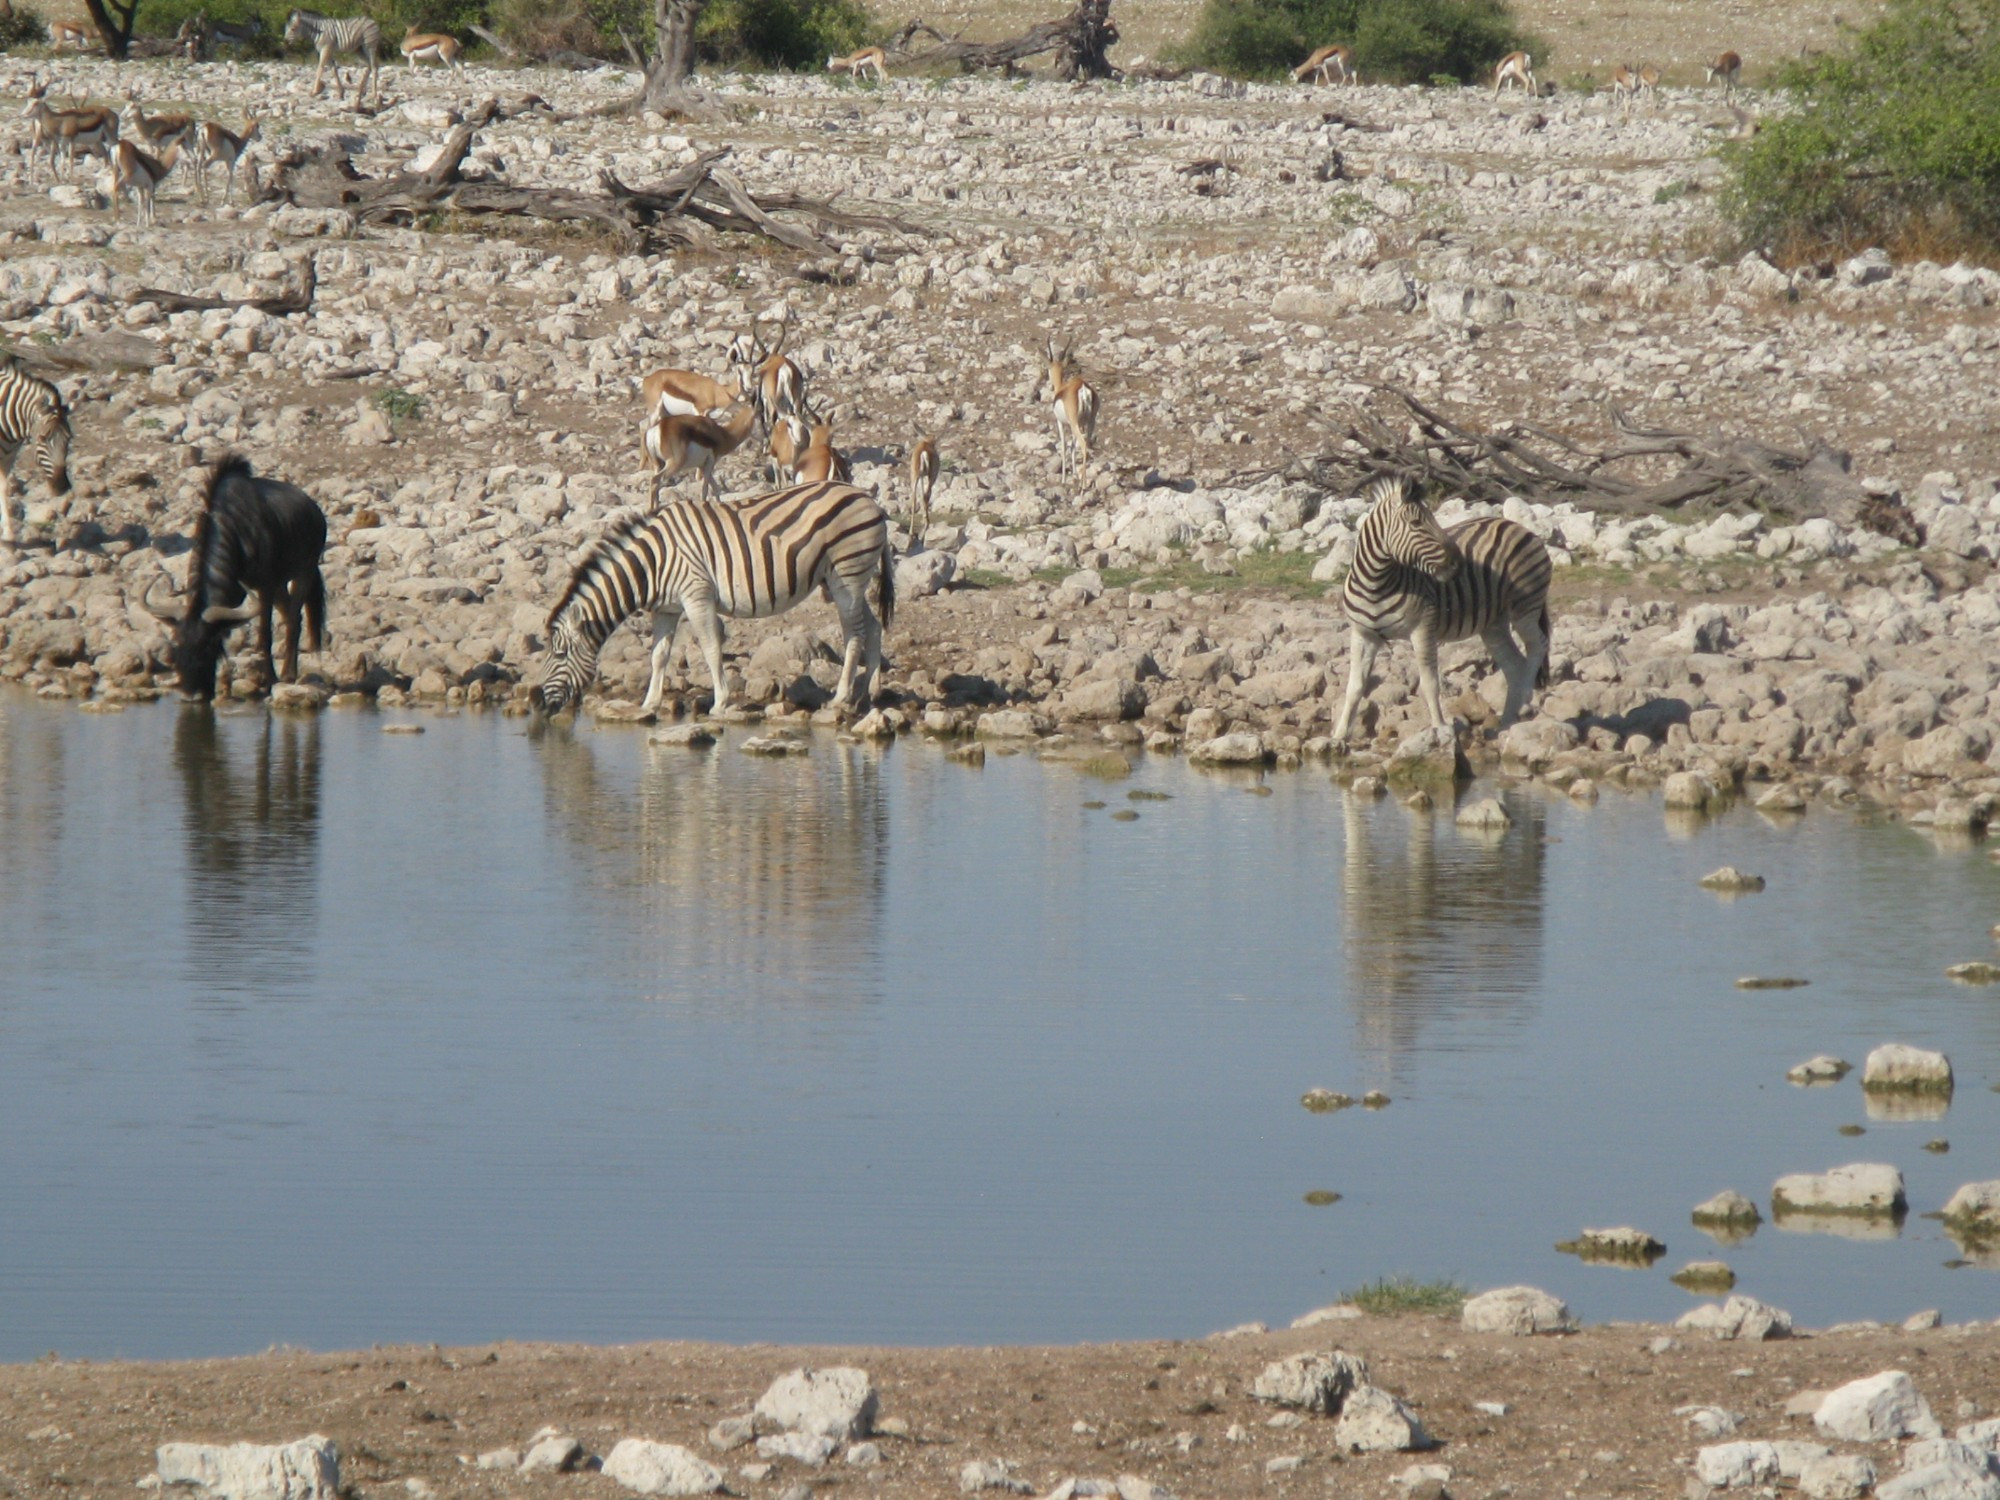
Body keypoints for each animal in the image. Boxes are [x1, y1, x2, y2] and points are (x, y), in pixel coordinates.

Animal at [0, 356, 73, 548]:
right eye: (42, 438)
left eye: (69, 439)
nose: (61, 487)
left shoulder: (8, 457)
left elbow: (4, 488)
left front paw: (8, 535)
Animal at [540, 482, 900, 716]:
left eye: (559, 655)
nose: (543, 706)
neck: (651, 564)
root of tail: (869, 499)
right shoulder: (666, 609)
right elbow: (658, 656)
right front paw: (649, 703)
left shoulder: (696, 595)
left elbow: (711, 649)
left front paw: (720, 702)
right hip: (846, 580)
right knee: (872, 627)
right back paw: (868, 694)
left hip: (847, 576)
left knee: (854, 633)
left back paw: (841, 697)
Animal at [1040, 338, 1104, 484]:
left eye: (1048, 369)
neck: (1061, 389)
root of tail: (1083, 387)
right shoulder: (1077, 424)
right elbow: (1073, 446)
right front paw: (1074, 473)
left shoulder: (1061, 423)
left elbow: (1064, 447)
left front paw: (1063, 479)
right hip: (1090, 421)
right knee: (1086, 444)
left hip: (1075, 423)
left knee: (1083, 444)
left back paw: (1083, 485)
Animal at [1336, 478, 1552, 744]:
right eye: (1416, 523)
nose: (1459, 564)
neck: (1375, 585)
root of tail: (1520, 528)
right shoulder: (1362, 634)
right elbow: (1354, 687)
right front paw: (1339, 735)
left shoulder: (1423, 628)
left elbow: (1430, 683)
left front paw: (1439, 729)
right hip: (1494, 623)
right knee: (1514, 665)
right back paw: (1507, 722)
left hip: (1526, 606)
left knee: (1537, 646)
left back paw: (1523, 701)